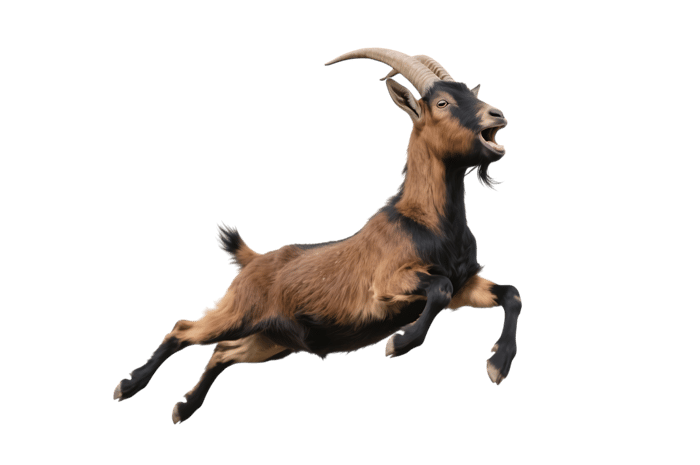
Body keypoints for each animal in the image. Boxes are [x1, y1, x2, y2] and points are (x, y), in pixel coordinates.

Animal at [112, 47, 523, 424]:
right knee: (184, 331)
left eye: (470, 92)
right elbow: (439, 289)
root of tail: (253, 259)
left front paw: (497, 365)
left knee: (223, 353)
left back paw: (183, 408)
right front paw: (399, 342)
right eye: (442, 102)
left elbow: (510, 295)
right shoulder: (387, 284)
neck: (424, 221)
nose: (496, 114)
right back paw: (128, 386)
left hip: (270, 340)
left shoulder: (465, 284)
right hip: (238, 312)